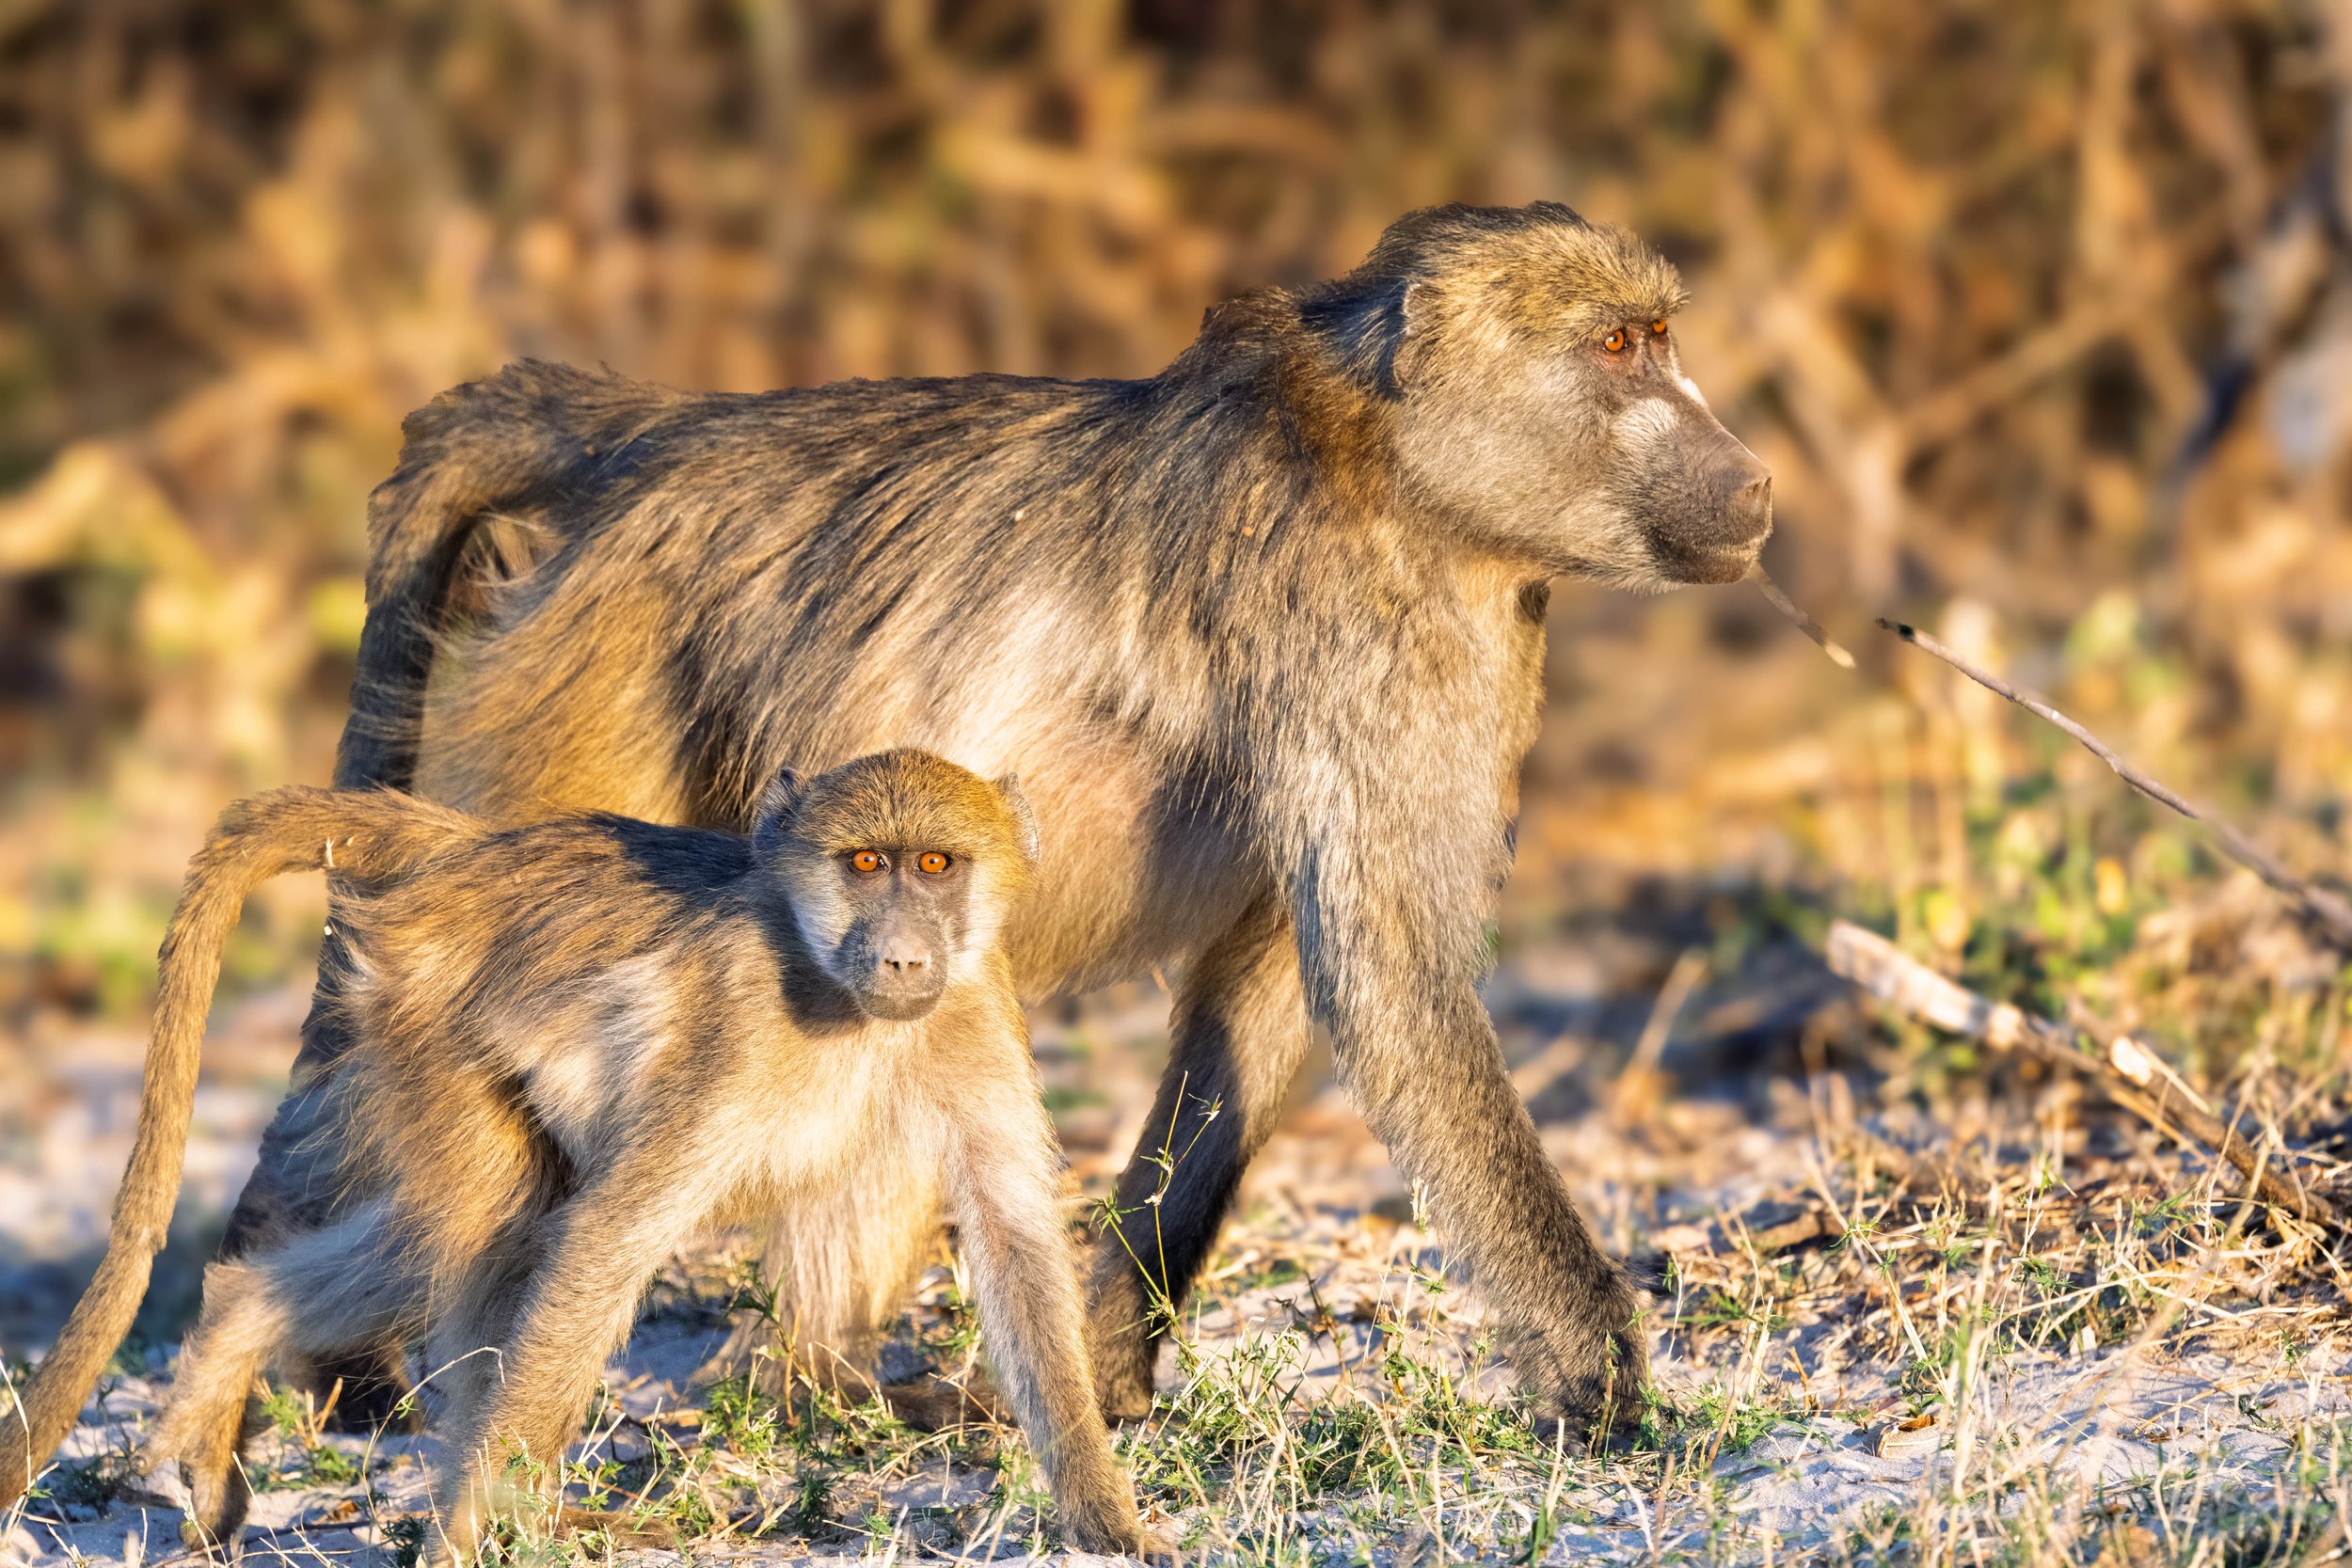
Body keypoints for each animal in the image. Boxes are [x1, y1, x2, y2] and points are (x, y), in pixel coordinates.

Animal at [0, 752, 1149, 1560]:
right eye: (866, 863)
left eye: (937, 865)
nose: (905, 957)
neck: (842, 997)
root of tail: (473, 855)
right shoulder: (735, 1027)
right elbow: (609, 1234)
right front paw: (465, 1538)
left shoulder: (977, 1007)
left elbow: (1013, 1237)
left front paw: (1108, 1522)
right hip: (431, 1032)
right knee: (504, 1228)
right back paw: (515, 1513)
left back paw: (240, 1328)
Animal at [214, 200, 1773, 1436]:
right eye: (1623, 347)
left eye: (1660, 334)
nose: (1754, 476)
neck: (1388, 458)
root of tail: (653, 438)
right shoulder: (1374, 631)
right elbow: (1392, 978)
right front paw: (1607, 1389)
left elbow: (1272, 991)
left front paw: (1113, 1370)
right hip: (592, 710)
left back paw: (818, 1380)